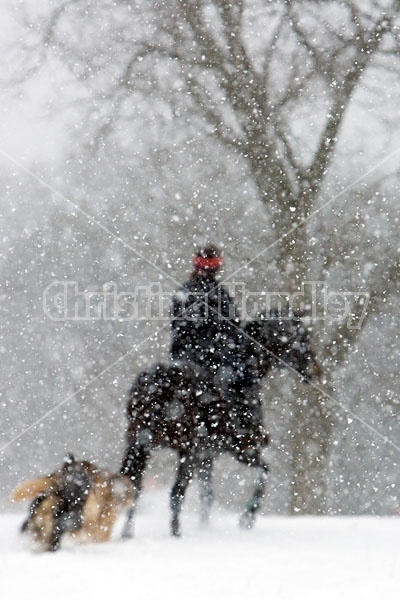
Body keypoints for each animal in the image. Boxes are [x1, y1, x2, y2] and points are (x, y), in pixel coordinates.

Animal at [120, 312, 320, 536]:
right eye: (302, 338)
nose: (316, 370)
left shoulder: (207, 457)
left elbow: (207, 495)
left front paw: (205, 527)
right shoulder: (242, 450)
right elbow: (264, 472)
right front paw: (247, 518)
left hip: (139, 444)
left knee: (134, 486)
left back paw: (127, 534)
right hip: (186, 451)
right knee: (175, 492)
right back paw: (175, 534)